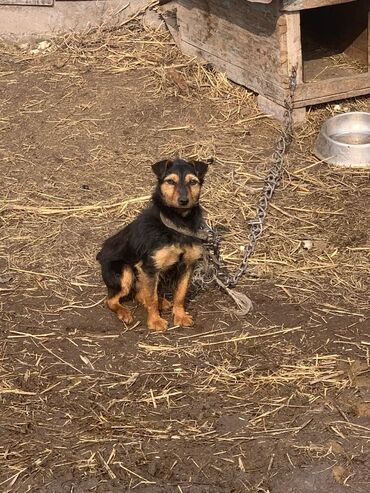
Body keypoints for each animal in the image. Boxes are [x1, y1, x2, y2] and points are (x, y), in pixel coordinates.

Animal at [96, 159, 208, 330]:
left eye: (193, 182)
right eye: (171, 181)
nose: (183, 201)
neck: (178, 223)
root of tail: (101, 254)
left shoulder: (188, 264)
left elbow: (180, 293)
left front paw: (180, 316)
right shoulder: (149, 267)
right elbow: (152, 298)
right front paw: (155, 321)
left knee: (139, 293)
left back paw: (163, 302)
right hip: (125, 272)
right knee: (111, 299)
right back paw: (124, 313)